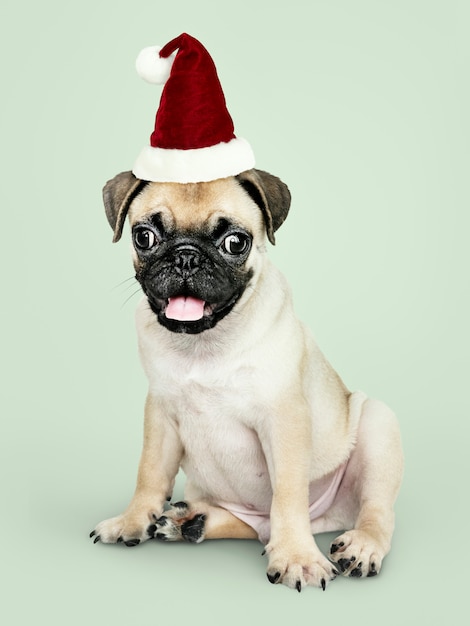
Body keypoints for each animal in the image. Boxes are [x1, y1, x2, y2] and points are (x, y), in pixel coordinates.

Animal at [91, 167, 404, 588]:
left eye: (235, 242)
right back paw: (191, 521)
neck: (204, 344)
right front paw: (131, 520)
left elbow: (287, 494)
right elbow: (150, 474)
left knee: (374, 510)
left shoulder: (284, 420)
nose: (186, 256)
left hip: (377, 424)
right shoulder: (160, 413)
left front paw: (296, 557)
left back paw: (361, 546)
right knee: (254, 524)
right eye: (145, 237)